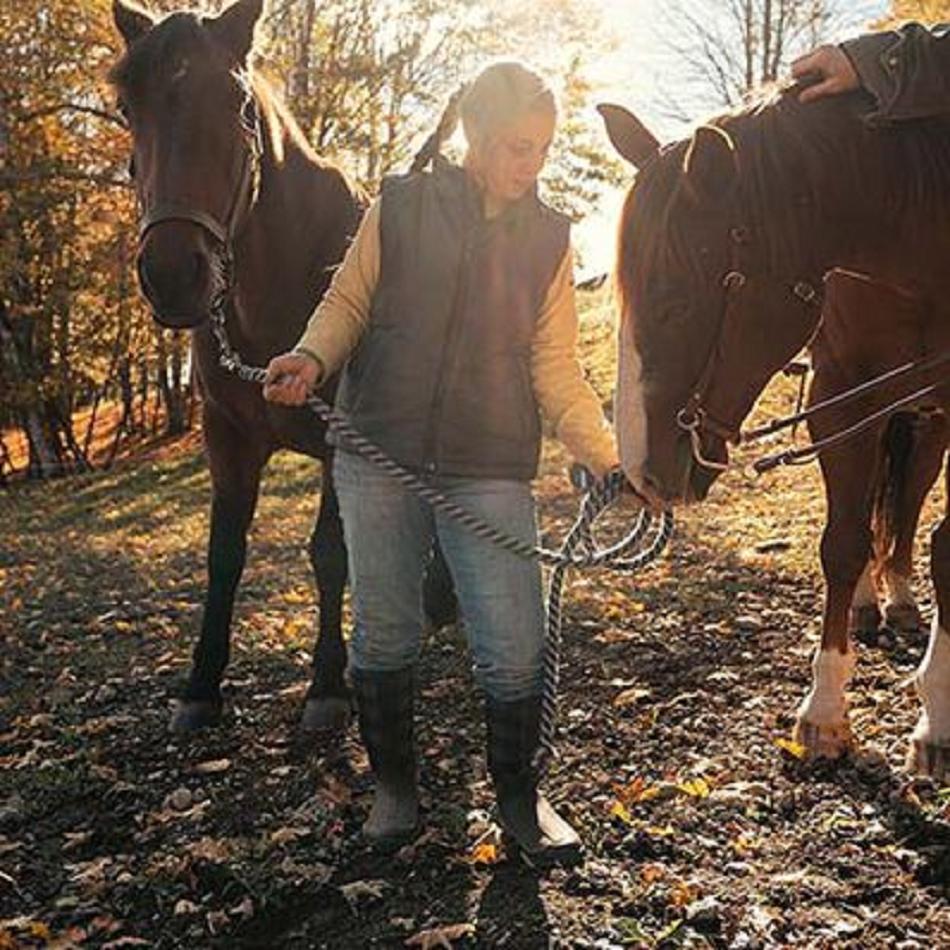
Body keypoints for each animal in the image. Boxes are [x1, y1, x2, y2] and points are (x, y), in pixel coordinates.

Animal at [109, 0, 364, 736]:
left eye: (236, 102)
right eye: (128, 107)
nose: (172, 275)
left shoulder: (341, 437)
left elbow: (330, 553)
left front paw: (326, 685)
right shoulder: (226, 439)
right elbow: (223, 557)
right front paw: (200, 686)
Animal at [604, 85, 950, 780]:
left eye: (674, 300)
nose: (641, 473)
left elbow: (945, 548)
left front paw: (937, 721)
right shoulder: (839, 401)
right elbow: (841, 546)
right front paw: (824, 712)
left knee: (907, 508)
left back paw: (899, 596)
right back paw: (871, 601)